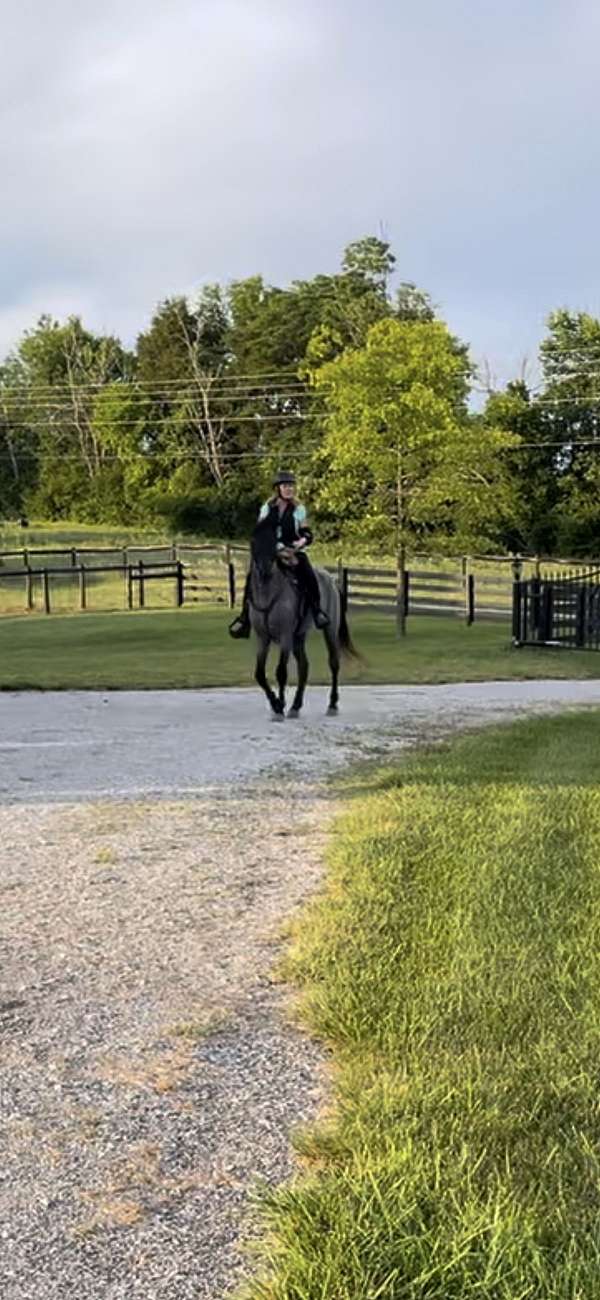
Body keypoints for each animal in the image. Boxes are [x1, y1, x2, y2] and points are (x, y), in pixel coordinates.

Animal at [246, 517, 355, 722]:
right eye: (254, 541)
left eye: (273, 541)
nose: (264, 570)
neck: (269, 594)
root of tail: (331, 579)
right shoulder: (262, 638)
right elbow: (260, 674)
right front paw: (277, 704)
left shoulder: (285, 636)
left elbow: (281, 672)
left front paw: (279, 707)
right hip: (299, 636)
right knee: (304, 666)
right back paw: (295, 707)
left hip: (329, 630)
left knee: (334, 663)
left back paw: (332, 705)